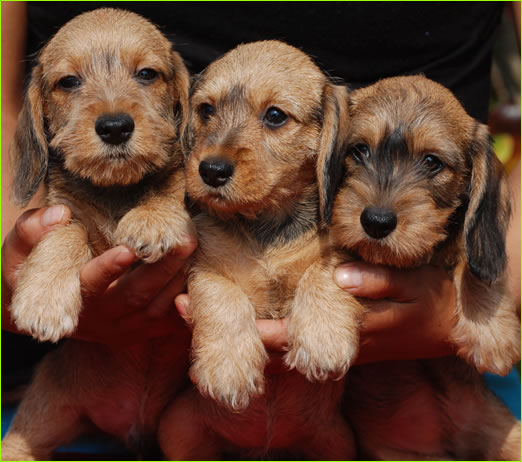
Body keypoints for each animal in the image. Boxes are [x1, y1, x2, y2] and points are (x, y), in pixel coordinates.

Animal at [2, 9, 193, 460]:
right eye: (69, 82)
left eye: (147, 74)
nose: (115, 127)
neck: (116, 190)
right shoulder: (61, 214)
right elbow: (66, 234)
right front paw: (44, 298)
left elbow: (171, 186)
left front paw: (154, 216)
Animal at [156, 41, 356, 460]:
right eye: (206, 110)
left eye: (275, 116)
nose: (211, 171)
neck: (266, 224)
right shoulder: (203, 267)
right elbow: (224, 298)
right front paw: (228, 367)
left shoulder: (343, 251)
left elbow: (322, 272)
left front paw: (324, 338)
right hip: (179, 431)